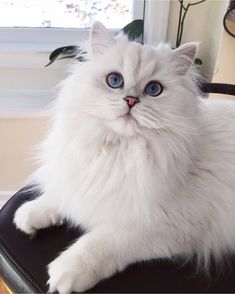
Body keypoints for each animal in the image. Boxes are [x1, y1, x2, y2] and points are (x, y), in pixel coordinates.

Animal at [13, 21, 235, 292]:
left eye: (154, 89)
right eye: (114, 80)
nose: (130, 100)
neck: (118, 152)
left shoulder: (162, 225)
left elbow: (100, 242)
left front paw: (65, 273)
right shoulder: (85, 178)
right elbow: (61, 196)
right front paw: (28, 215)